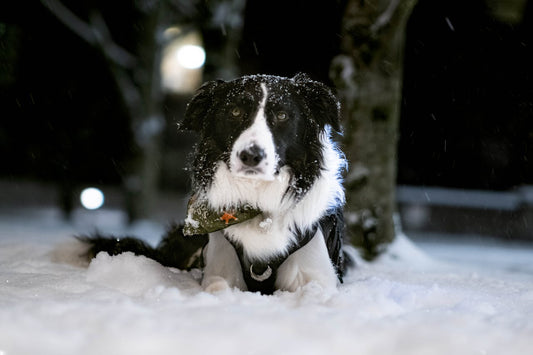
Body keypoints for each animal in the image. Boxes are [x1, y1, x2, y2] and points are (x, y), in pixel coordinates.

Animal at [81, 73, 348, 296]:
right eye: (235, 112)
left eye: (282, 115)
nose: (251, 156)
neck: (258, 201)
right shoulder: (220, 266)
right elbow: (218, 287)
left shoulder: (315, 275)